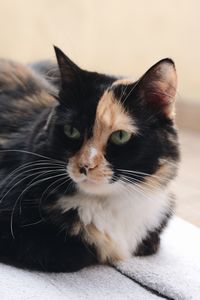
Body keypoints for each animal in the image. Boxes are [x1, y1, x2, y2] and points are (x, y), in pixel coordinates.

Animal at [0, 46, 180, 272]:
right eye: (71, 131)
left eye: (120, 136)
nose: (85, 165)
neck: (107, 203)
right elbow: (74, 252)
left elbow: (150, 243)